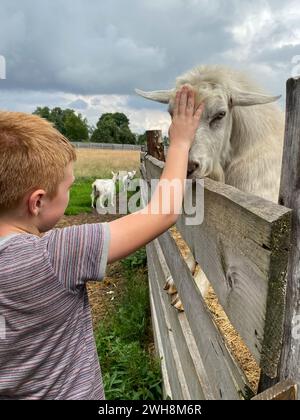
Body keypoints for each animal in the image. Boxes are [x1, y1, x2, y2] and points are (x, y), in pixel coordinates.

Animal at [136, 64, 284, 310]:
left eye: (220, 114)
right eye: (171, 113)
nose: (187, 167)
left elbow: (219, 260)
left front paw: (194, 289)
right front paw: (178, 278)